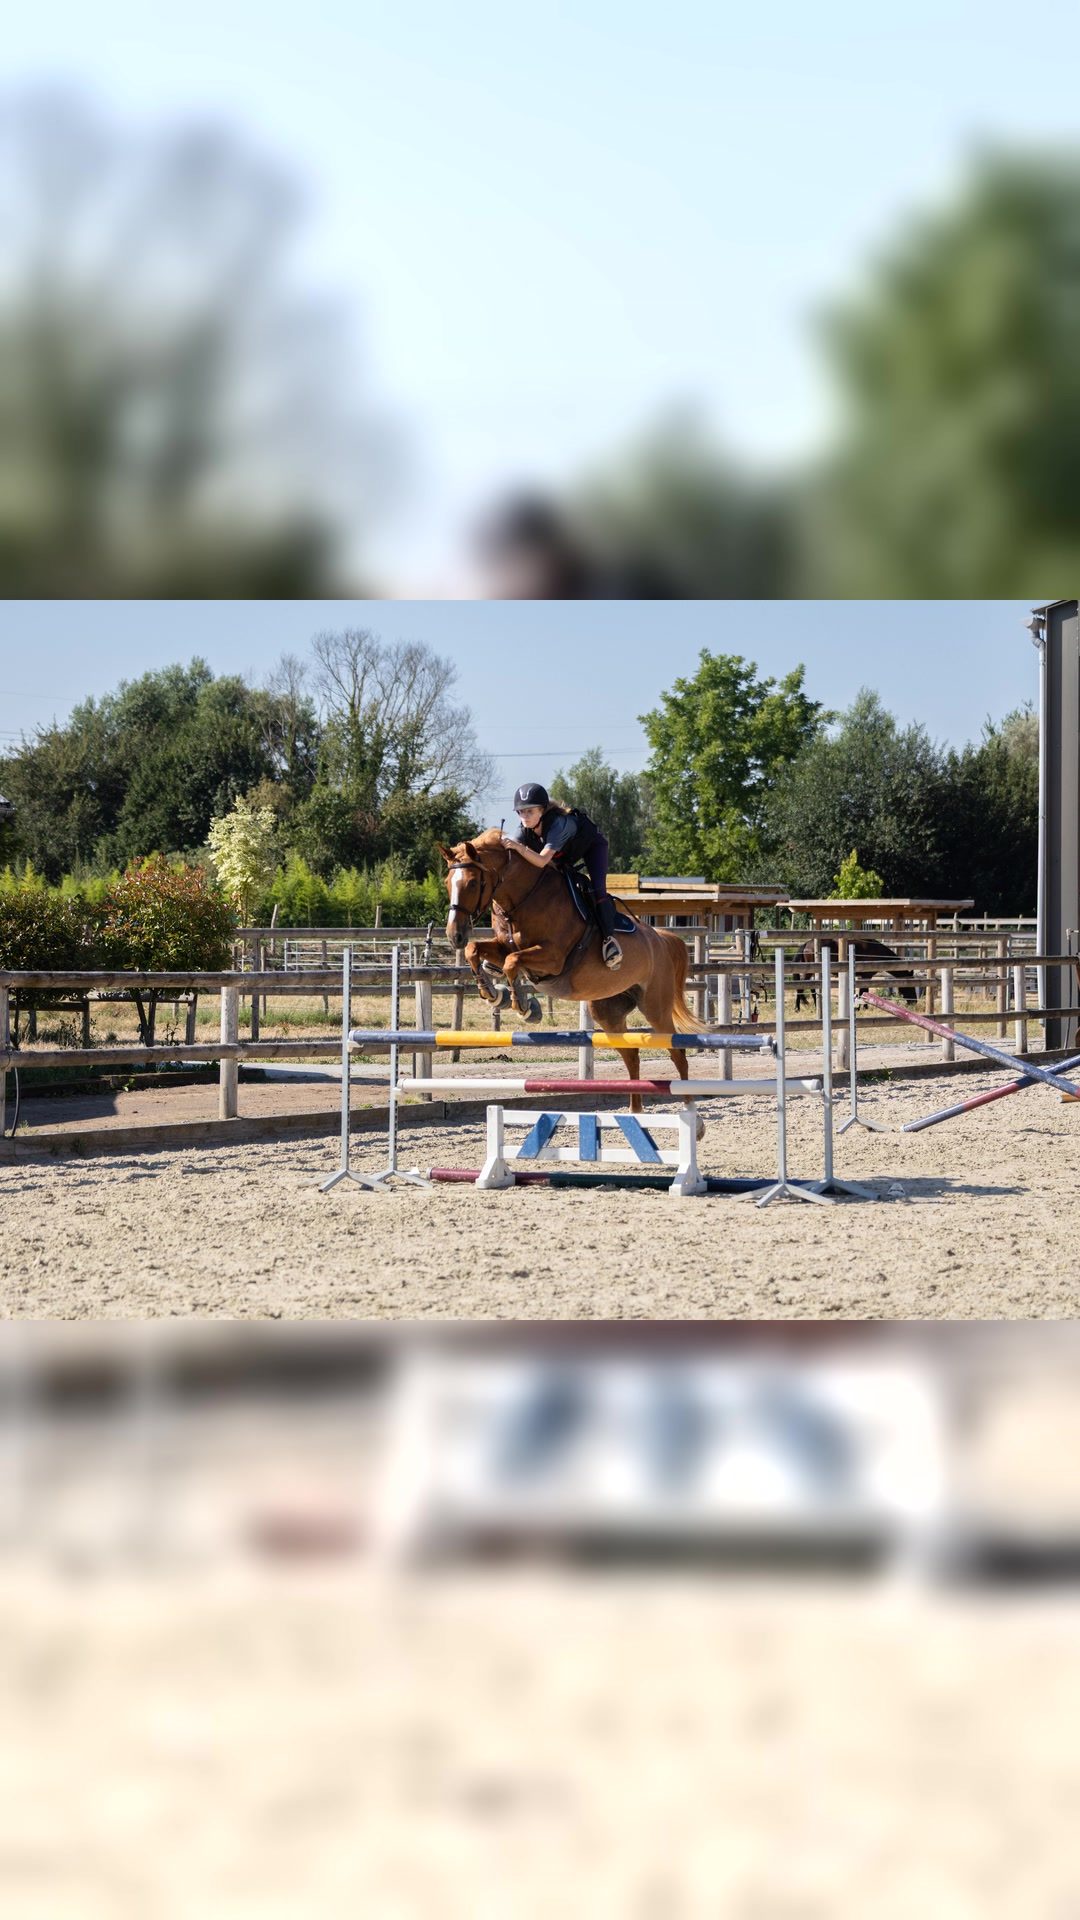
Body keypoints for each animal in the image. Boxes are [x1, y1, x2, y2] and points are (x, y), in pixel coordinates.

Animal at [436, 830, 705, 1110]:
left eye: (472, 883)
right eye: (447, 883)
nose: (454, 935)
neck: (524, 898)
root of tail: (661, 938)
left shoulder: (553, 958)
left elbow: (512, 961)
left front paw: (524, 1006)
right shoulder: (502, 946)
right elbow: (476, 951)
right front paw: (492, 993)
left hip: (655, 1008)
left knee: (678, 1053)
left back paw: (690, 1112)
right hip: (608, 1012)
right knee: (632, 1055)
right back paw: (636, 1110)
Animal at [790, 935, 919, 1013]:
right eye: (910, 986)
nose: (914, 1002)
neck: (875, 950)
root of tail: (807, 943)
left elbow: (863, 992)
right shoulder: (866, 976)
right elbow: (863, 991)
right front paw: (863, 1007)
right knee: (802, 987)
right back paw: (797, 1008)